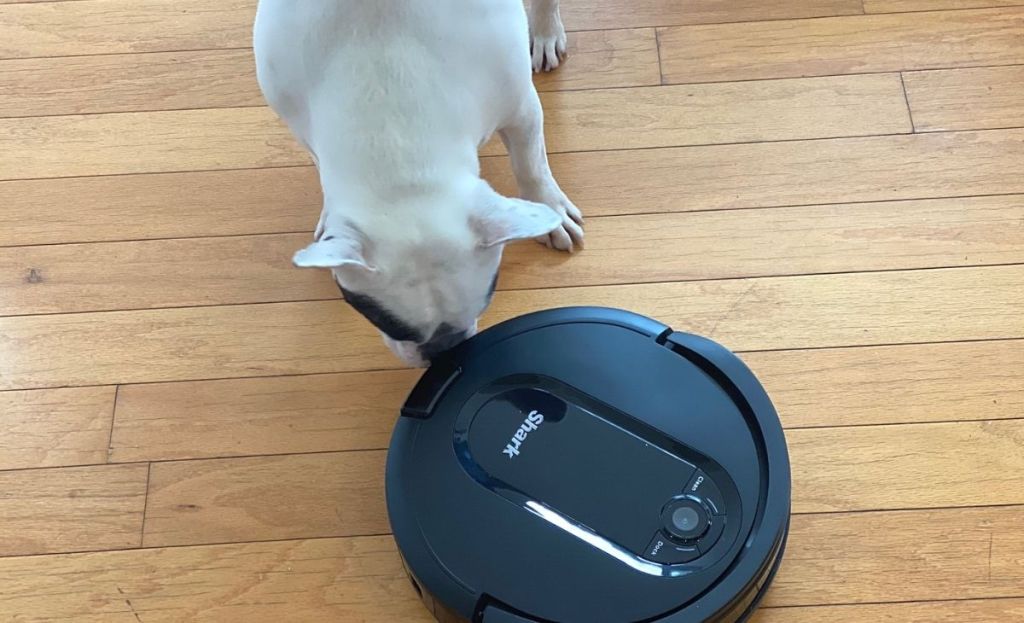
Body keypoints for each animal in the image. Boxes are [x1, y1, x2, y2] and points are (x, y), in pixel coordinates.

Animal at [251, 0, 581, 366]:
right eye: (379, 317)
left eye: (488, 296)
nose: (443, 349)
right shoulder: (300, 123)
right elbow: (321, 166)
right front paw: (328, 218)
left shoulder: (520, 109)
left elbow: (530, 164)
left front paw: (551, 210)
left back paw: (545, 32)